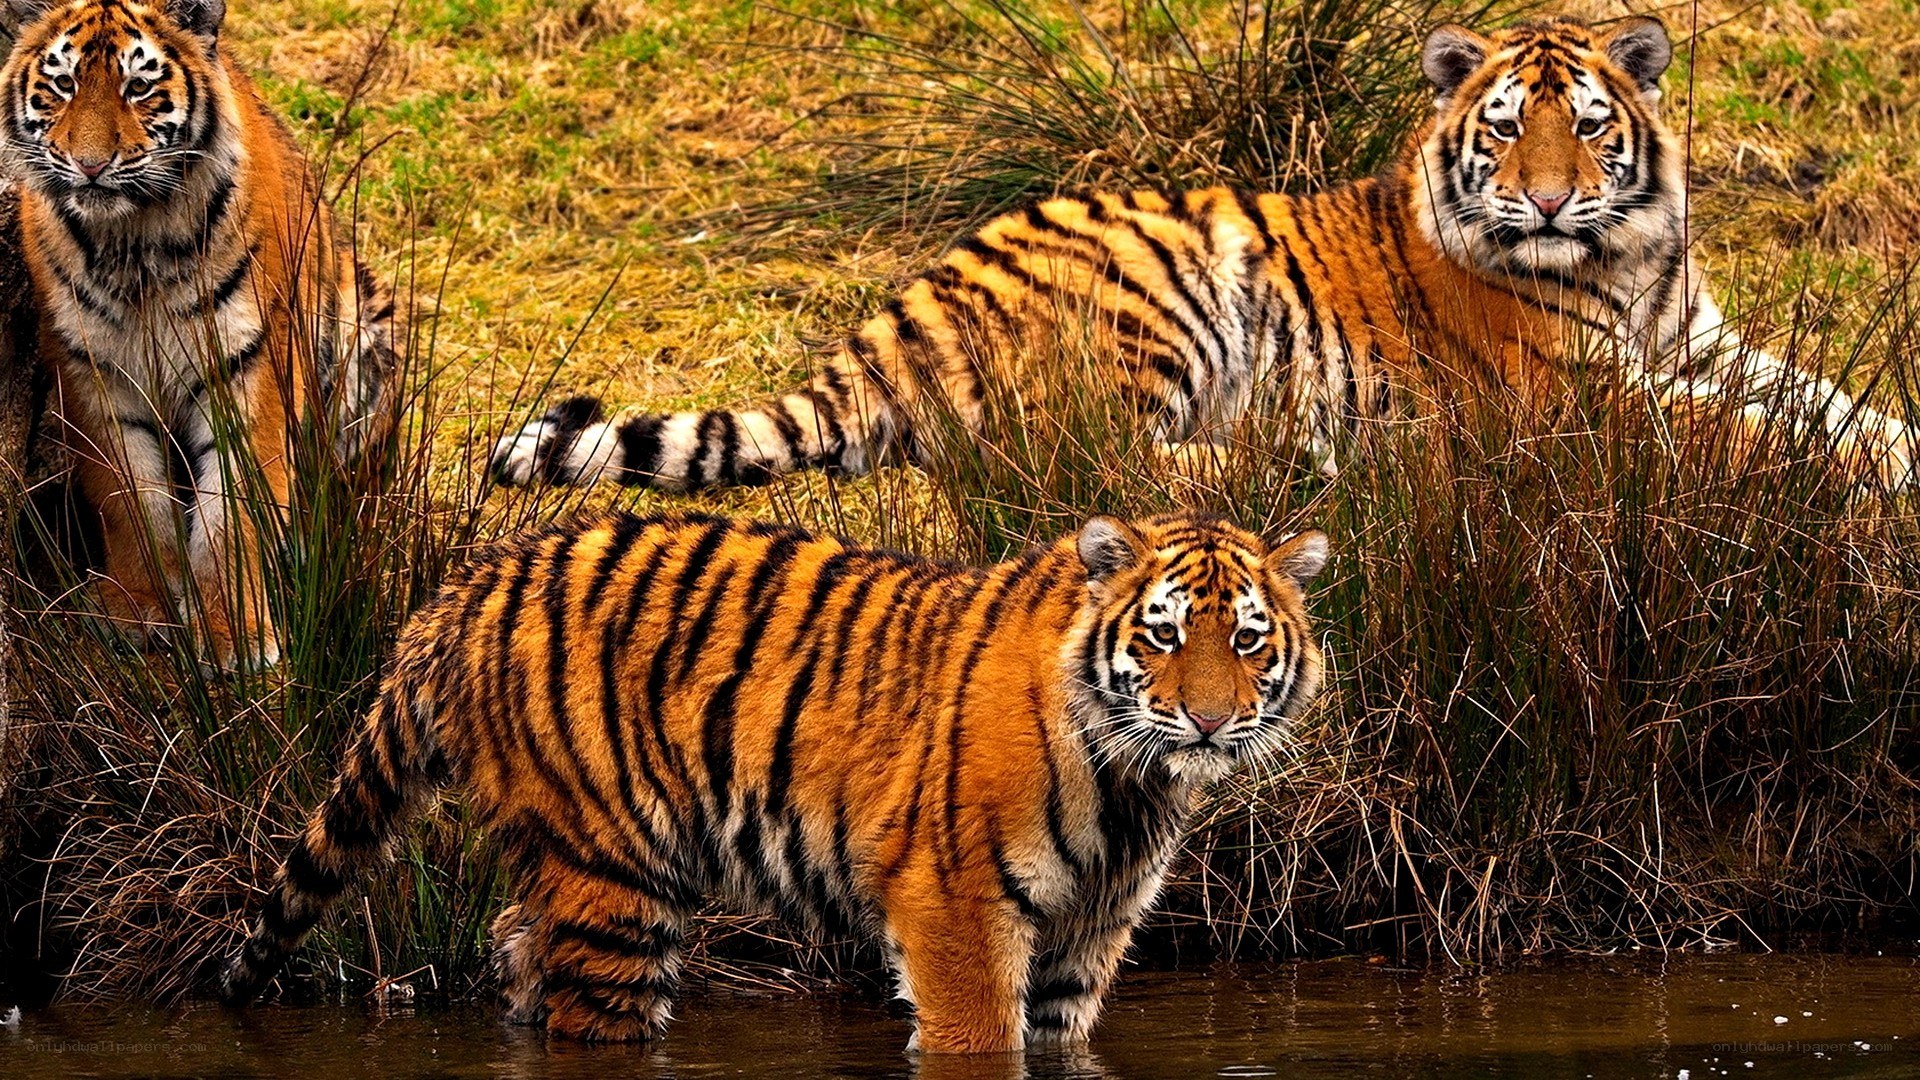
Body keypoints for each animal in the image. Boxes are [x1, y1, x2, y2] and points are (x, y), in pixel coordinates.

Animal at [1, 0, 401, 669]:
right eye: (62, 84)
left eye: (139, 87)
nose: (90, 165)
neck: (132, 242)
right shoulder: (93, 372)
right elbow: (128, 499)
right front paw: (141, 611)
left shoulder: (249, 367)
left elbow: (234, 514)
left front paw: (234, 638)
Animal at [220, 510, 1330, 1052]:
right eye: (1164, 636)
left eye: (1245, 641)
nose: (1210, 721)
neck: (1134, 785)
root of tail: (463, 587)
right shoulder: (956, 910)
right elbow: (980, 1039)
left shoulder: (1086, 935)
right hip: (614, 884)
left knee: (513, 949)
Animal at [490, 14, 1912, 494]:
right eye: (1507, 130)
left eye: (1593, 128)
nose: (1554, 207)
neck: (1627, 259)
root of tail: (897, 311)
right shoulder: (1574, 393)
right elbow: (1743, 432)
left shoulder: (1701, 339)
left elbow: (1829, 401)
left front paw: (1891, 444)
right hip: (1167, 286)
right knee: (1078, 459)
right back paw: (1302, 453)